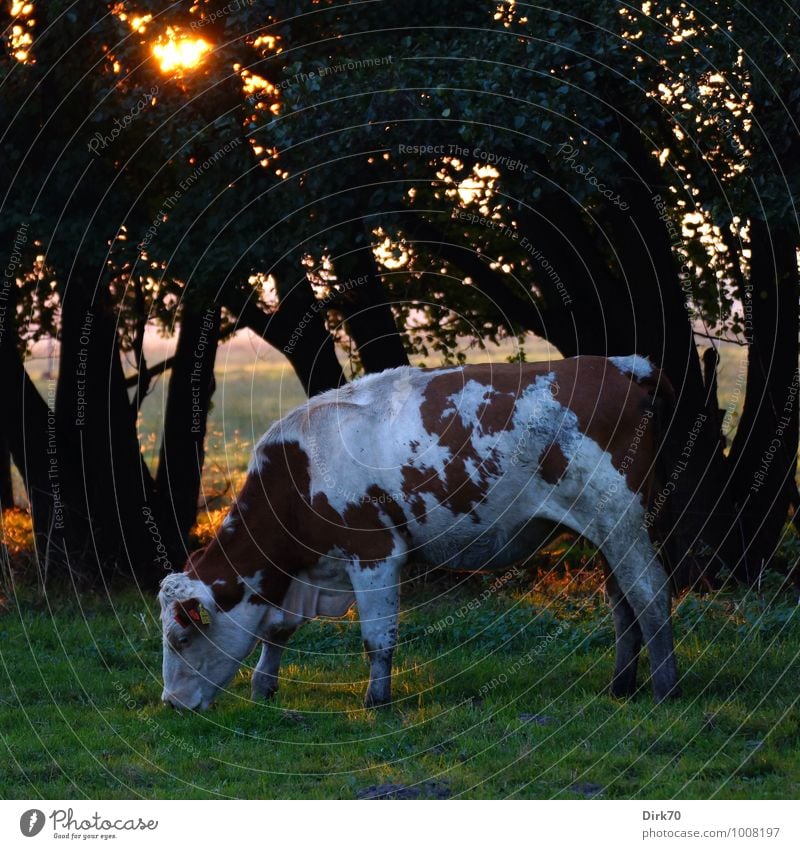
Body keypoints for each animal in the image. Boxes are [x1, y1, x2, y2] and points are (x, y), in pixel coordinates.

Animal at [159, 354, 680, 712]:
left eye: (181, 639)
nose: (171, 704)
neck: (300, 471)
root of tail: (619, 366)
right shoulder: (301, 573)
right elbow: (276, 630)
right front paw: (263, 686)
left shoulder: (374, 553)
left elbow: (377, 637)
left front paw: (376, 702)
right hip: (606, 529)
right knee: (623, 602)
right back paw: (621, 686)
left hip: (622, 517)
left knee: (651, 593)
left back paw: (664, 689)